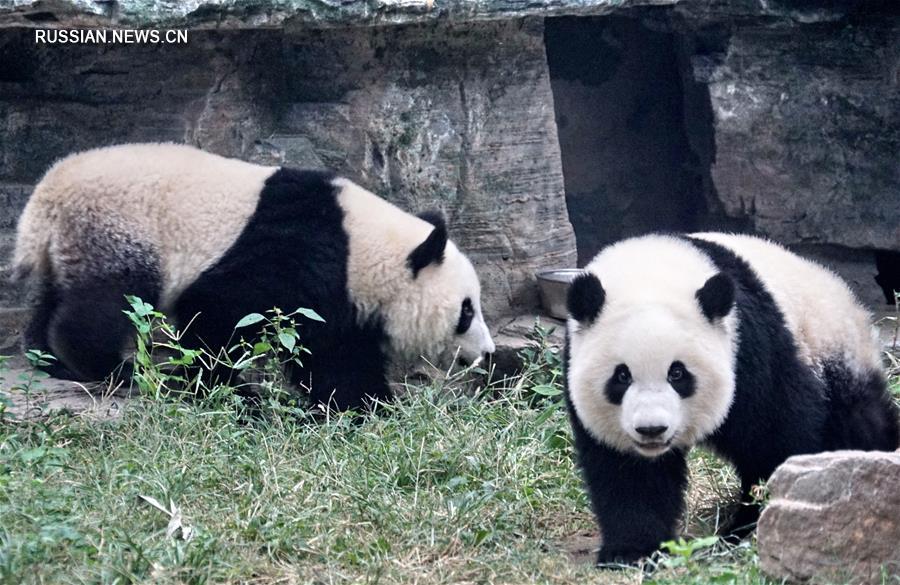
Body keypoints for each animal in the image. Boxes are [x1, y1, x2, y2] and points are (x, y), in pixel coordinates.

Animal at [10, 144, 496, 410]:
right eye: (466, 312)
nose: (489, 353)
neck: (365, 249)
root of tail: (45, 198)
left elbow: (336, 353)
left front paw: (366, 404)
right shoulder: (298, 251)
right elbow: (215, 312)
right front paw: (230, 391)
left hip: (74, 243)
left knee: (54, 297)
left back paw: (47, 358)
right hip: (119, 229)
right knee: (109, 301)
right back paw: (107, 367)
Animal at [568, 233, 896, 564]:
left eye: (678, 374)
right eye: (622, 376)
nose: (652, 430)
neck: (651, 270)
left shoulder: (753, 350)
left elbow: (775, 439)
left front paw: (759, 524)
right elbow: (630, 475)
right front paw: (633, 552)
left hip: (834, 357)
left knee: (858, 425)